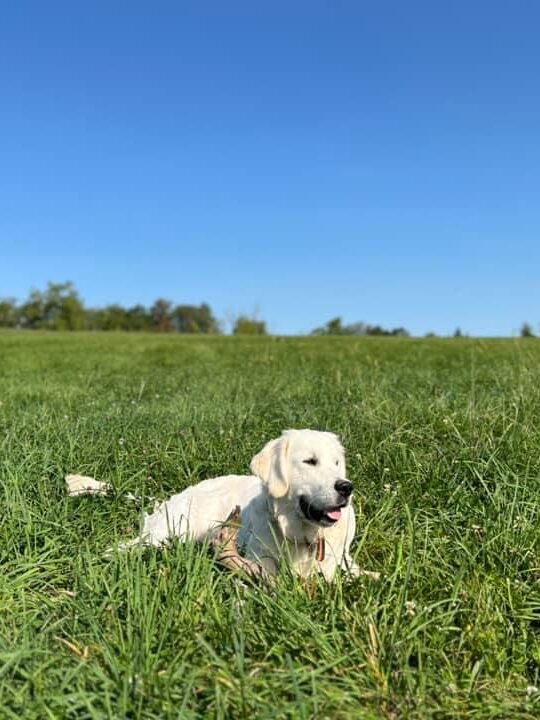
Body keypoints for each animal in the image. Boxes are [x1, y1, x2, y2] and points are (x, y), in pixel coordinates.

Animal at [124, 429, 364, 582]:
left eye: (336, 463)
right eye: (310, 461)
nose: (346, 487)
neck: (303, 537)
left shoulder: (344, 560)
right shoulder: (260, 557)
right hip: (170, 532)